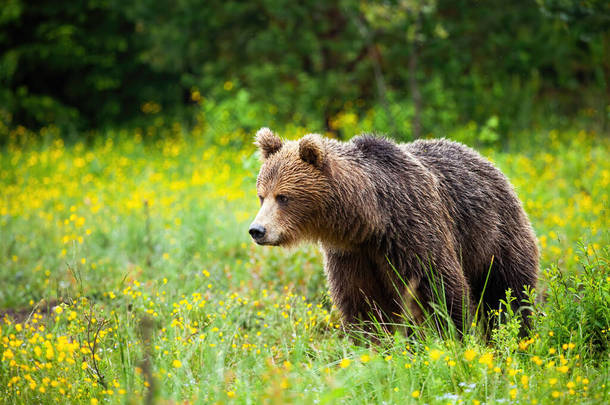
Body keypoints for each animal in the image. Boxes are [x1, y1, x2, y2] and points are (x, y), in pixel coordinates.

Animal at [247, 127, 536, 334]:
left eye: (283, 197)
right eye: (261, 195)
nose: (257, 230)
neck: (371, 220)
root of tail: (488, 163)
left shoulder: (413, 229)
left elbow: (441, 286)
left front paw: (454, 335)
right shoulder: (352, 253)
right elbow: (363, 303)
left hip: (494, 234)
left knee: (508, 291)